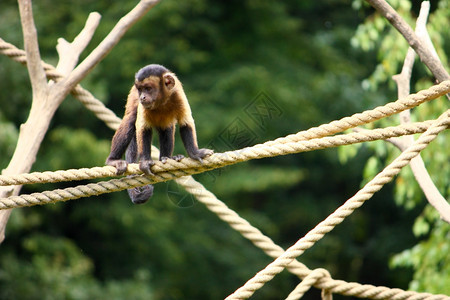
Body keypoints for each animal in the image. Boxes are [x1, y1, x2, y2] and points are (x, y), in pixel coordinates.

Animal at [108, 63, 215, 204]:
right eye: (140, 89)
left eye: (148, 88)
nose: (142, 97)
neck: (161, 101)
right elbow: (142, 127)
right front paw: (145, 162)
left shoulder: (177, 94)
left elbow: (185, 123)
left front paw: (195, 153)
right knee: (131, 119)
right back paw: (113, 160)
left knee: (167, 128)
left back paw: (166, 158)